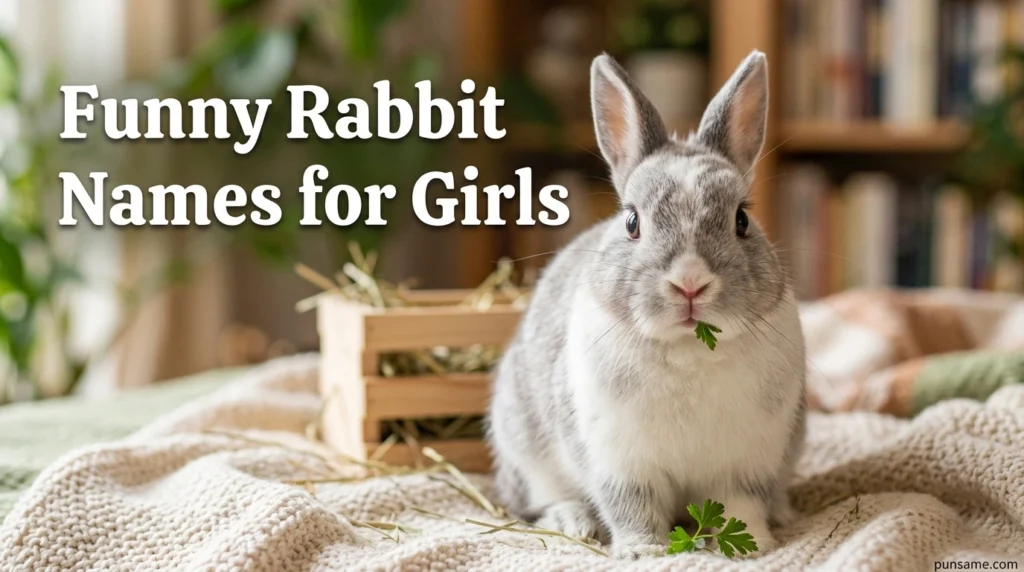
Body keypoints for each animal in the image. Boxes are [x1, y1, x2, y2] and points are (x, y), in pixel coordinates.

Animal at [486, 50, 806, 560]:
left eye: (742, 219)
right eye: (632, 221)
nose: (690, 284)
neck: (689, 350)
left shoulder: (748, 463)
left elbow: (741, 507)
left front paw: (751, 547)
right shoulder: (621, 464)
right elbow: (632, 507)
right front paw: (643, 552)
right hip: (525, 450)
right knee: (538, 501)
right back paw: (573, 522)